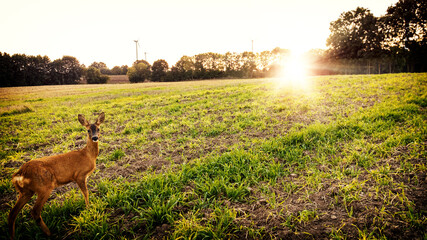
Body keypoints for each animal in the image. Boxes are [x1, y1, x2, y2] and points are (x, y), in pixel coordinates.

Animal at [7, 112, 105, 240]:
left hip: (26, 191)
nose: (95, 138)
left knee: (12, 214)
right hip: (44, 187)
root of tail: (19, 174)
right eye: (88, 130)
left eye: (98, 129)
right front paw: (89, 208)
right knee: (35, 211)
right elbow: (86, 193)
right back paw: (50, 234)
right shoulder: (79, 175)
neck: (87, 155)